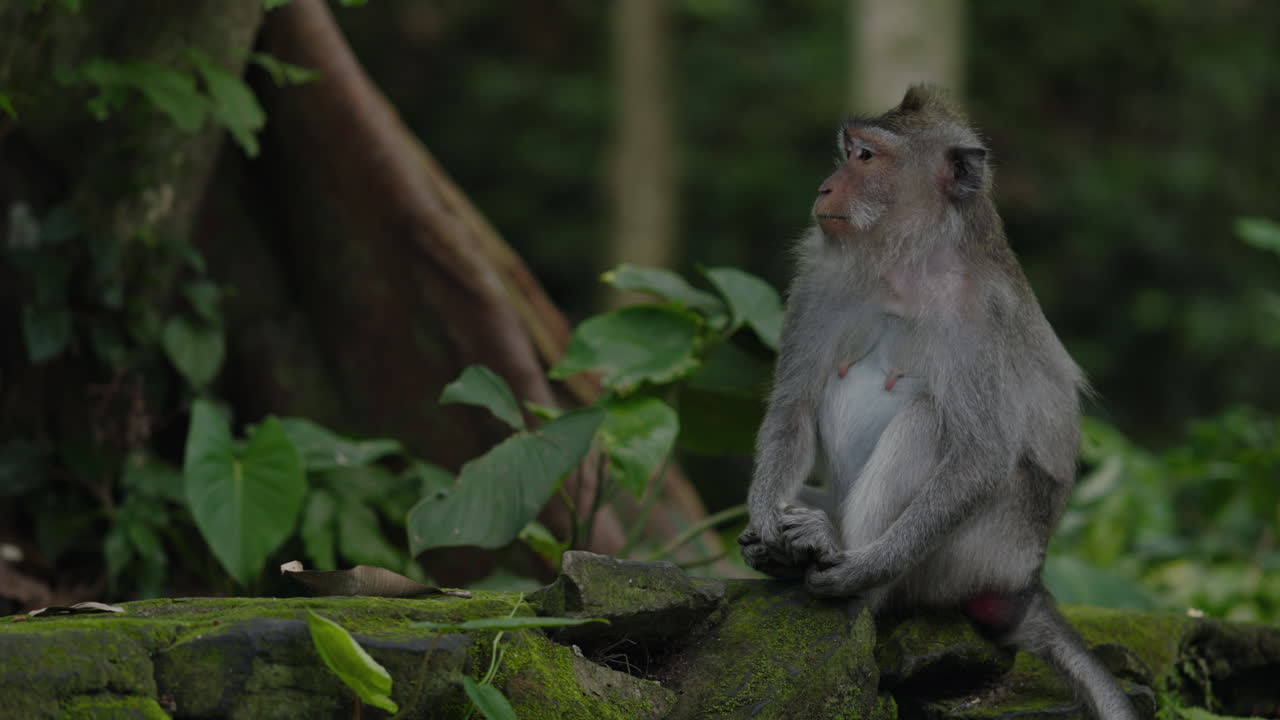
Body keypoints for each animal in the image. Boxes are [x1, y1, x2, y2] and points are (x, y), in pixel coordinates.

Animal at [736, 86, 1137, 720]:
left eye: (866, 157)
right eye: (848, 151)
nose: (826, 187)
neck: (905, 264)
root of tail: (1025, 580)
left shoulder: (983, 311)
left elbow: (982, 452)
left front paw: (863, 567)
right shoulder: (819, 275)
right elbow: (793, 406)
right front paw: (763, 520)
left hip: (974, 556)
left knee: (930, 420)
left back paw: (844, 565)